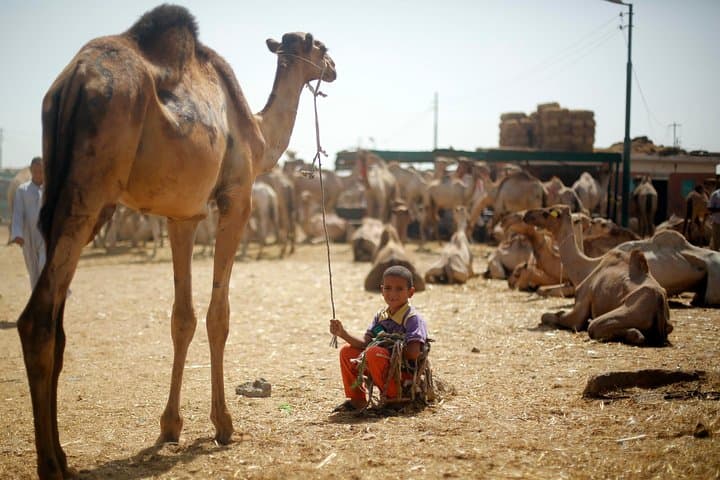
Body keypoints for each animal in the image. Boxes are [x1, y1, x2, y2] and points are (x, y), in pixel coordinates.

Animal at [17, 6, 336, 478]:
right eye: (322, 47)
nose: (333, 68)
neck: (258, 132)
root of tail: (72, 82)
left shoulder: (182, 215)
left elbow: (181, 317)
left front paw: (170, 427)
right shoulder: (236, 197)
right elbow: (218, 315)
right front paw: (223, 425)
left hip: (67, 196)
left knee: (56, 323)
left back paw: (62, 457)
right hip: (89, 192)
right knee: (38, 319)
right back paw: (52, 465)